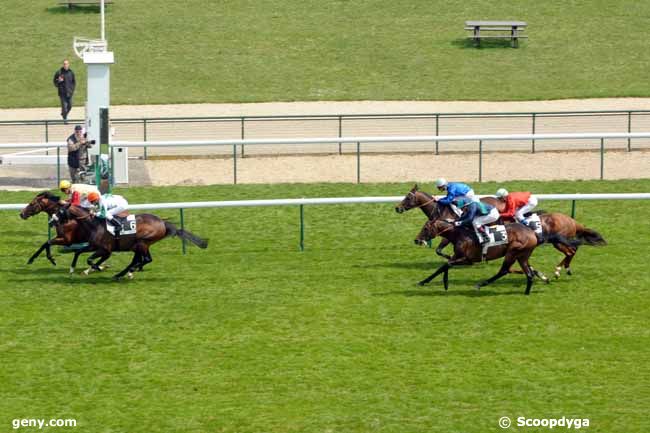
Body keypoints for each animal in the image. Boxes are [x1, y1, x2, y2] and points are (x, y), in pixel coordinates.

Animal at [394, 184, 608, 276]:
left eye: (407, 197)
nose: (397, 208)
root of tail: (573, 221)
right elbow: (440, 250)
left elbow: (441, 250)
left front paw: (457, 260)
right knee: (573, 250)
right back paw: (563, 269)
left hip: (557, 241)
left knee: (571, 250)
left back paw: (559, 270)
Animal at [412, 219, 580, 294]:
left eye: (425, 228)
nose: (416, 240)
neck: (460, 234)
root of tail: (533, 234)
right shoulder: (457, 257)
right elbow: (443, 266)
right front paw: (424, 281)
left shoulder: (467, 260)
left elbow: (446, 265)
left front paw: (444, 283)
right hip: (522, 255)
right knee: (528, 274)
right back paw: (527, 291)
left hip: (512, 252)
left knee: (504, 270)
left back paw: (481, 284)